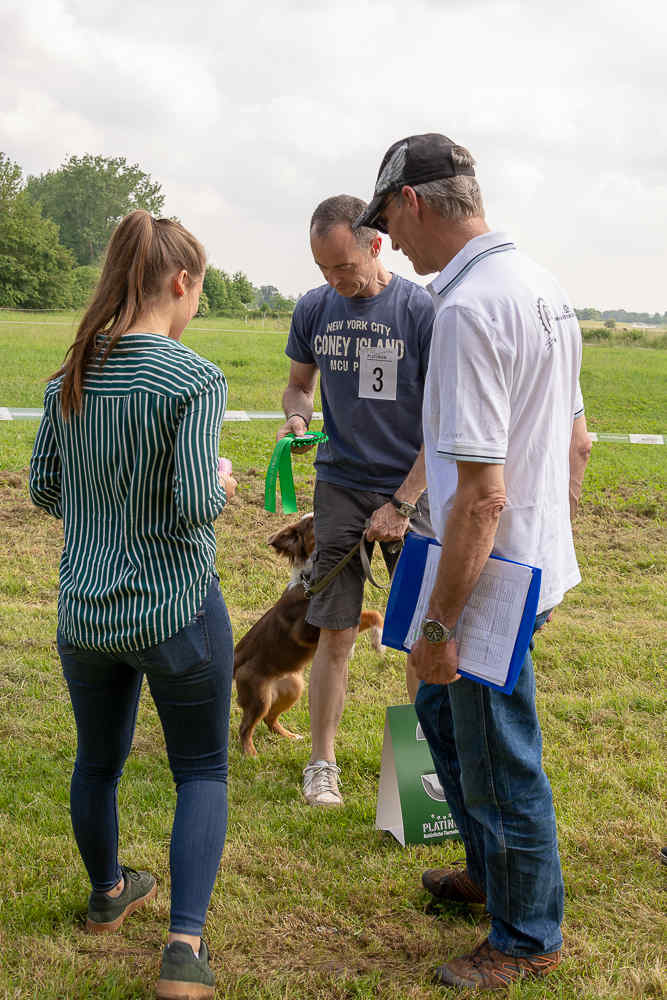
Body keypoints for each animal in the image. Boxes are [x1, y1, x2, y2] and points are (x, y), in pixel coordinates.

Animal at [235, 512, 384, 752]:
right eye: (312, 522)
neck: (312, 581)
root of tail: (236, 656)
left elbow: (372, 615)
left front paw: (376, 641)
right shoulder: (308, 630)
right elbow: (367, 615)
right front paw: (375, 642)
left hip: (293, 688)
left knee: (269, 719)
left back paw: (290, 737)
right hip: (259, 696)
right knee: (246, 727)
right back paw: (250, 754)